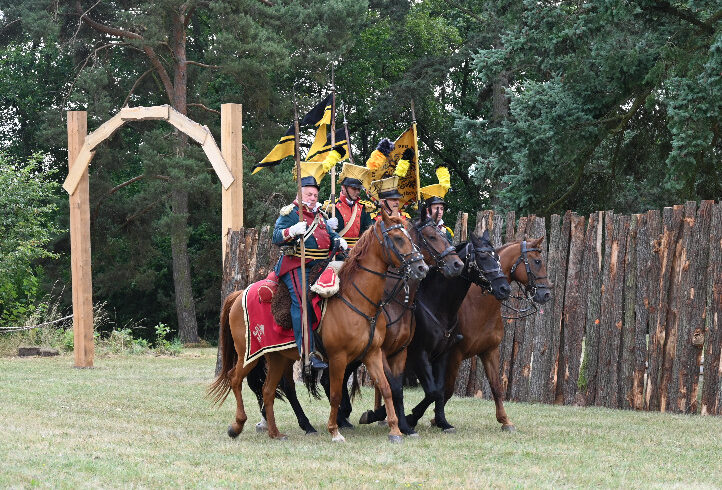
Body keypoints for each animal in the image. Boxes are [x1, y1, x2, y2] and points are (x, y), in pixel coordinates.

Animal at [211, 211, 430, 444]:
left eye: (410, 237)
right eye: (398, 238)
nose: (421, 267)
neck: (357, 299)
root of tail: (239, 293)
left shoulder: (373, 353)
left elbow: (387, 388)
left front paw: (395, 430)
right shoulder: (338, 358)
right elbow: (335, 394)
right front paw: (334, 431)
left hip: (277, 357)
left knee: (268, 390)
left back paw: (275, 432)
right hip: (248, 354)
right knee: (235, 379)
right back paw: (237, 426)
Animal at [356, 229, 512, 432]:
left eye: (497, 258)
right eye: (483, 257)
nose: (504, 288)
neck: (438, 306)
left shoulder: (445, 354)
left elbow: (439, 390)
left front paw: (441, 421)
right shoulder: (420, 355)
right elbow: (433, 391)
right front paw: (411, 417)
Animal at [438, 239, 552, 430]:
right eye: (537, 261)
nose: (546, 294)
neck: (478, 305)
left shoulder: (490, 352)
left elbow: (496, 387)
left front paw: (505, 421)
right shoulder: (454, 354)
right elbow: (446, 389)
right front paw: (437, 419)